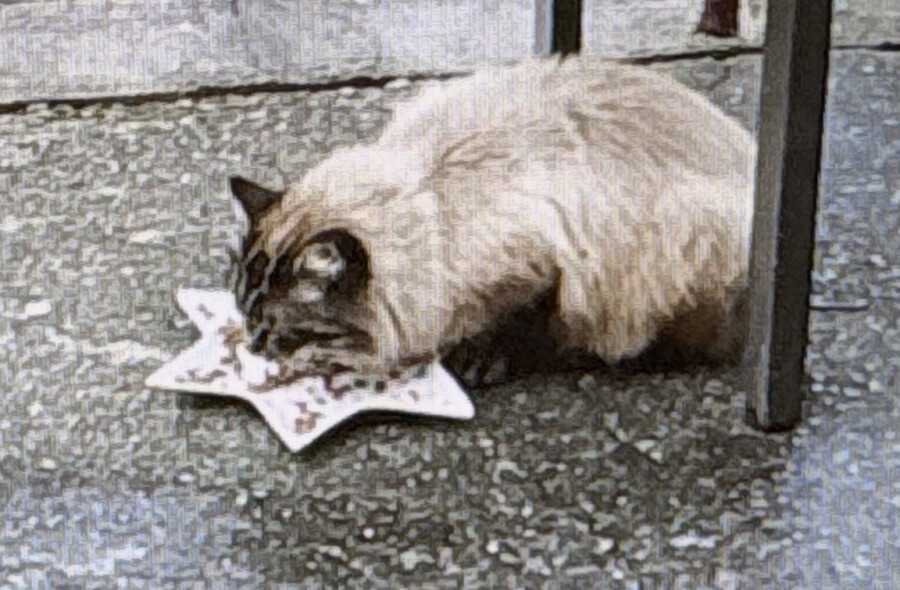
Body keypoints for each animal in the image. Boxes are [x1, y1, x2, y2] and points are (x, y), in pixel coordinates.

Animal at [228, 54, 756, 382]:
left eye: (278, 331)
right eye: (243, 312)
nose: (251, 346)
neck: (430, 199)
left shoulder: (545, 261)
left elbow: (514, 318)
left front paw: (479, 359)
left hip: (682, 243)